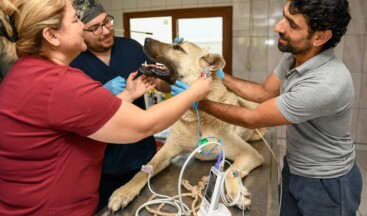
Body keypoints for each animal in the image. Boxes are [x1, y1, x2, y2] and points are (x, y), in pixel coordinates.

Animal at [108, 37, 266, 213]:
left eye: (178, 47)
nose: (146, 39)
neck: (197, 117)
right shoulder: (166, 151)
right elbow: (144, 170)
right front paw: (124, 190)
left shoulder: (249, 153)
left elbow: (229, 171)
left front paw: (236, 194)